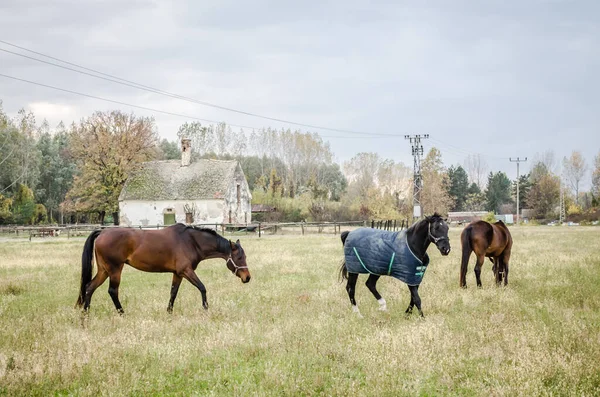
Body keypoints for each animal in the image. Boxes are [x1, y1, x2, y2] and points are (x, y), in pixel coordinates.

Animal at [75, 223, 251, 312]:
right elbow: (202, 288)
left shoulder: (178, 273)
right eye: (239, 257)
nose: (247, 277)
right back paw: (121, 313)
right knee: (112, 291)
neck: (191, 241)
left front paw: (169, 311)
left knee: (89, 287)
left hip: (104, 270)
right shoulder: (186, 271)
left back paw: (85, 313)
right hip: (115, 270)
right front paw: (205, 308)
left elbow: (173, 292)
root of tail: (102, 232)